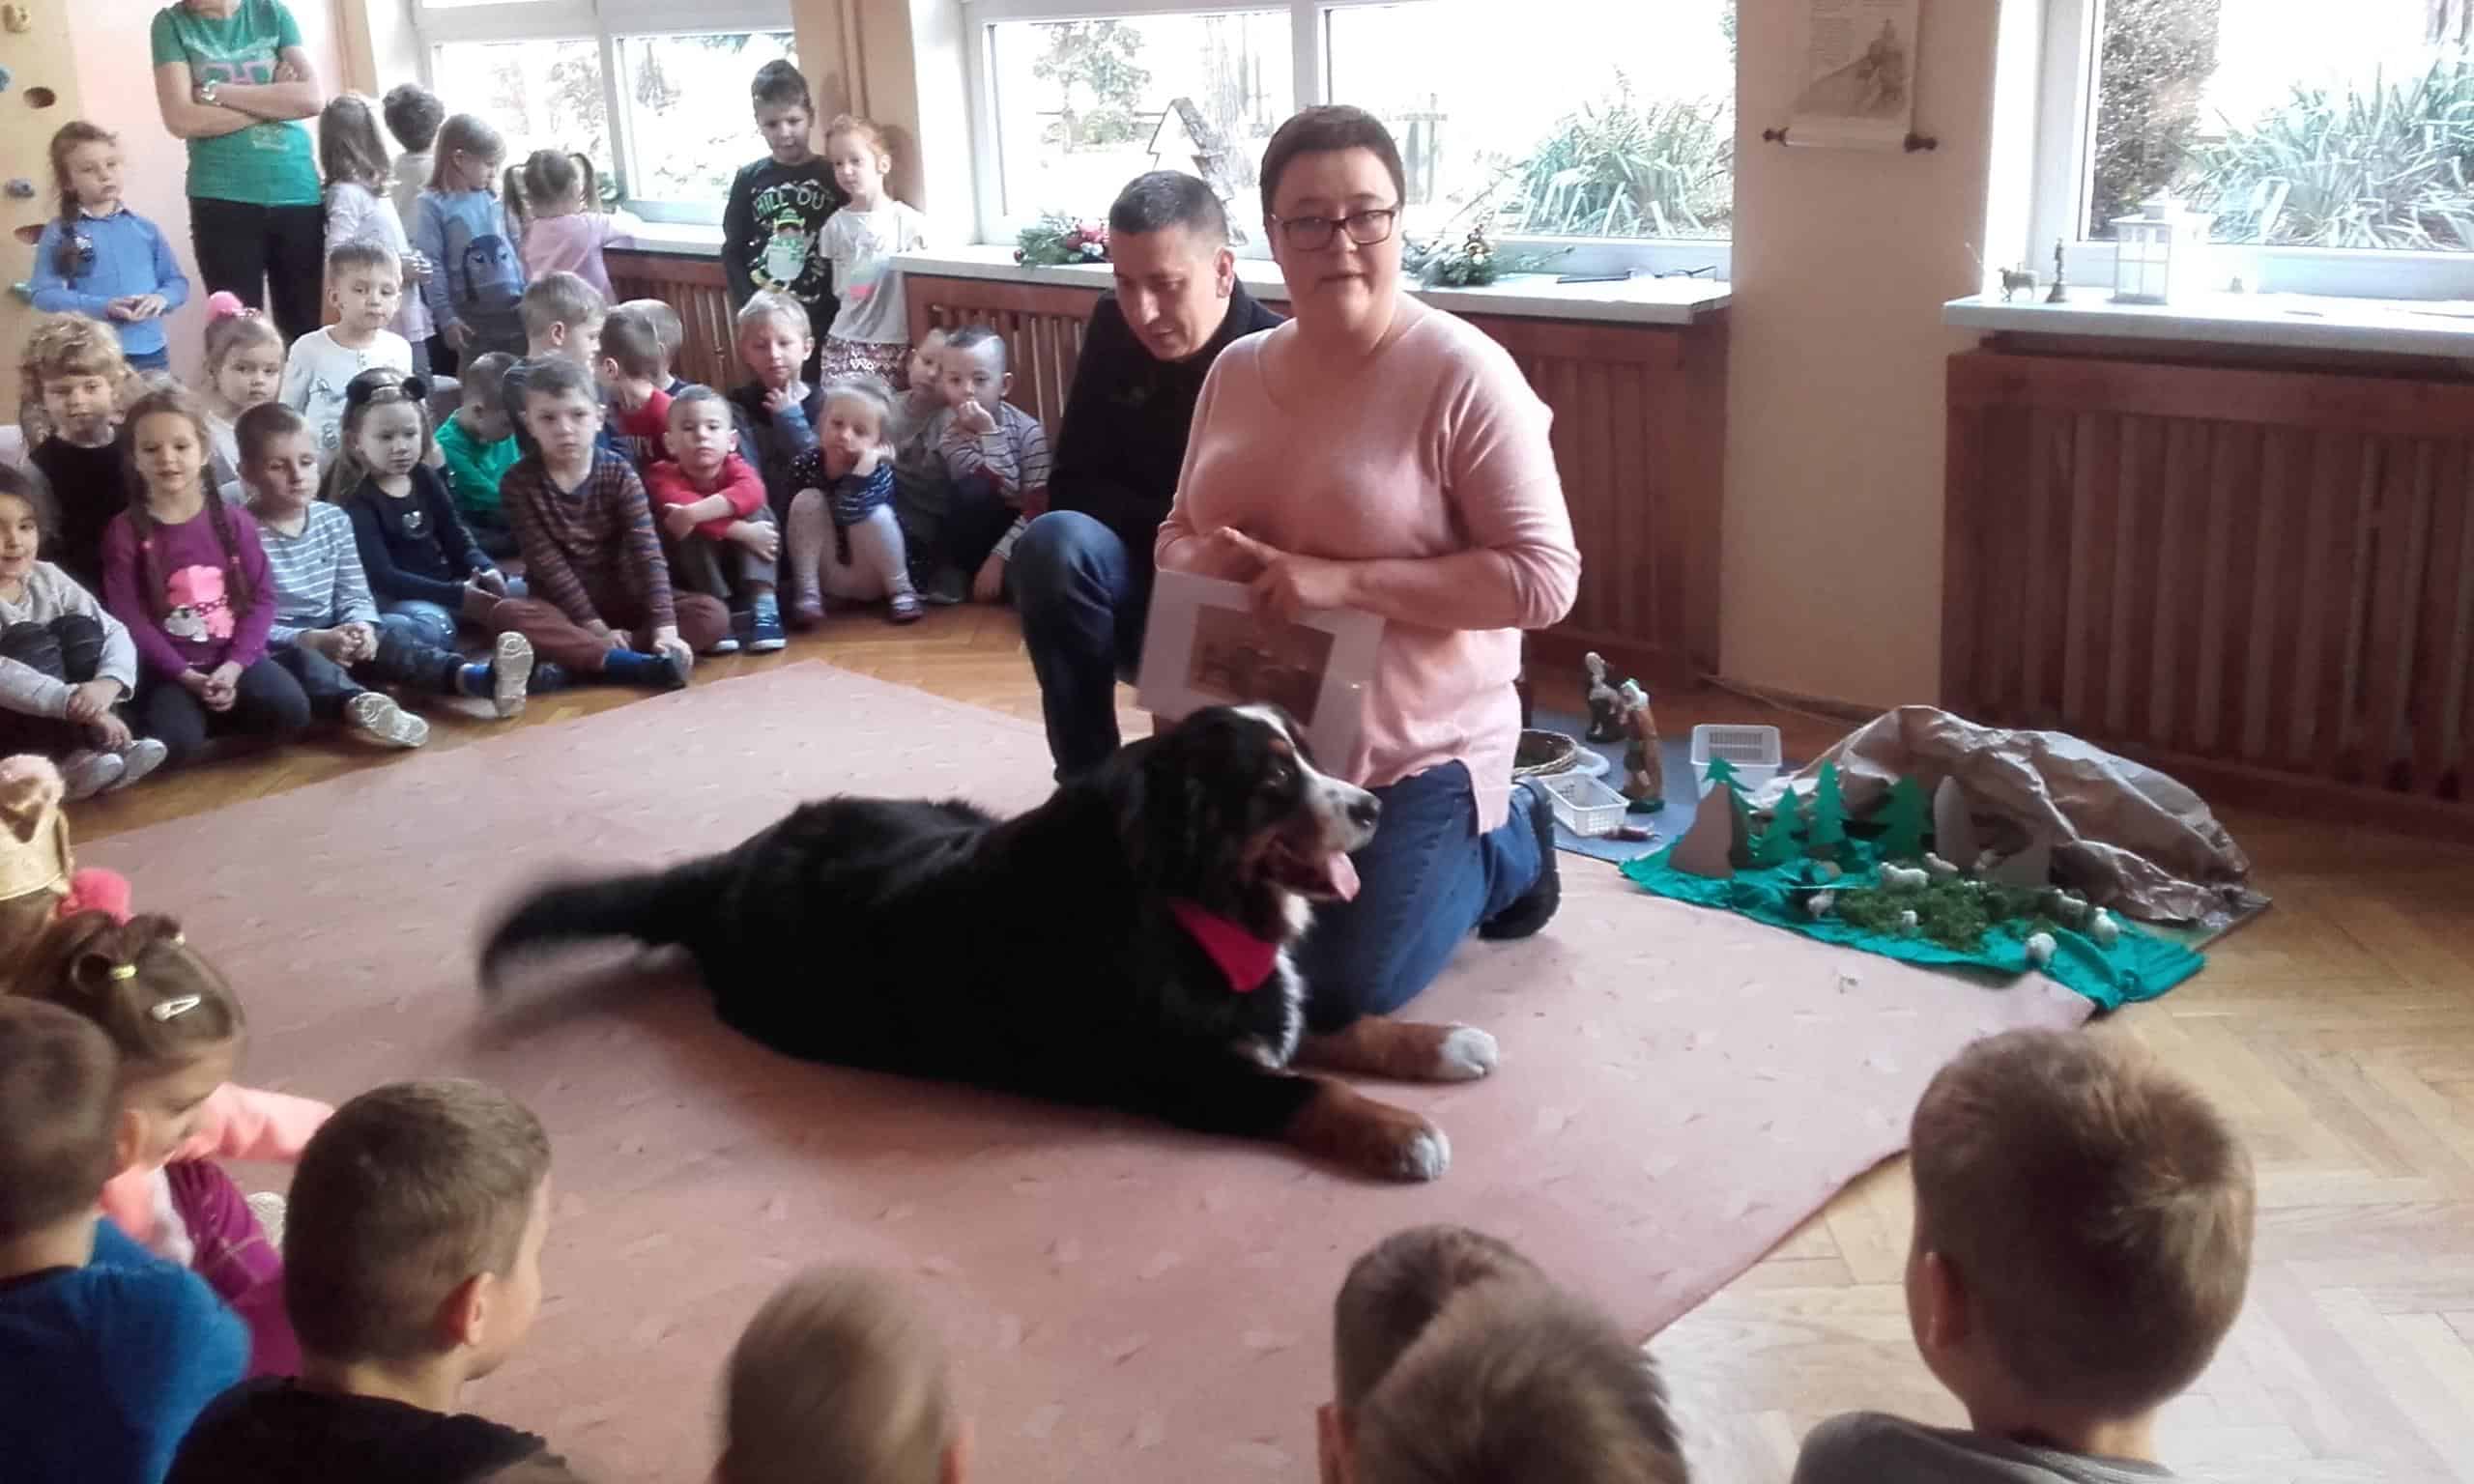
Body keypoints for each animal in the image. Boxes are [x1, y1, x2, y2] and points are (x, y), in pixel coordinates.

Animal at [478, 706, 1500, 1181]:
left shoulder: (1266, 996)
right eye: (1274, 782)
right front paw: (1402, 1133)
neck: (1185, 896)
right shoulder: (1190, 1073)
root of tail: (727, 866)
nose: (1370, 807)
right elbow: (1310, 1086)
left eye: (1310, 757)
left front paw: (1444, 1043)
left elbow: (1344, 1019)